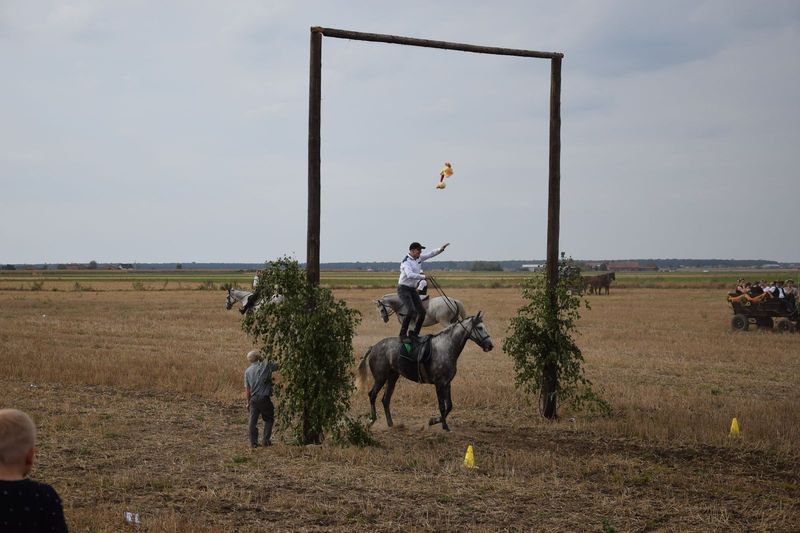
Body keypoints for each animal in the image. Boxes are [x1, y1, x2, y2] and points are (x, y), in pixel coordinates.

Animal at [358, 312, 494, 432]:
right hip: (380, 378)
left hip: (392, 377)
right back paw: (371, 421)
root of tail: (374, 347)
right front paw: (444, 426)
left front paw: (434, 421)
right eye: (480, 328)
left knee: (385, 400)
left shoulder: (447, 383)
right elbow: (442, 406)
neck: (446, 347)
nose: (490, 346)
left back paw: (391, 424)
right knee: (372, 395)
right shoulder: (439, 384)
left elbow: (449, 406)